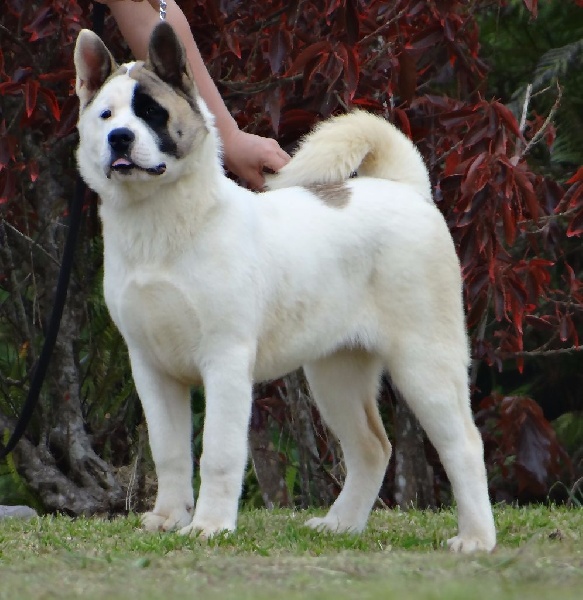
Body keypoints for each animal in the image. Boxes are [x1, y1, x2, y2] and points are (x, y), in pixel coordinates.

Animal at [74, 23, 498, 552]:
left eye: (152, 112)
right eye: (106, 115)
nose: (120, 138)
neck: (161, 225)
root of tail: (406, 189)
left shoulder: (226, 361)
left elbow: (218, 453)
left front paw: (210, 526)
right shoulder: (151, 368)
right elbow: (168, 450)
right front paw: (169, 518)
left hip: (425, 362)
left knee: (463, 443)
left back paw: (476, 538)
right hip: (335, 372)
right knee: (372, 447)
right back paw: (341, 524)